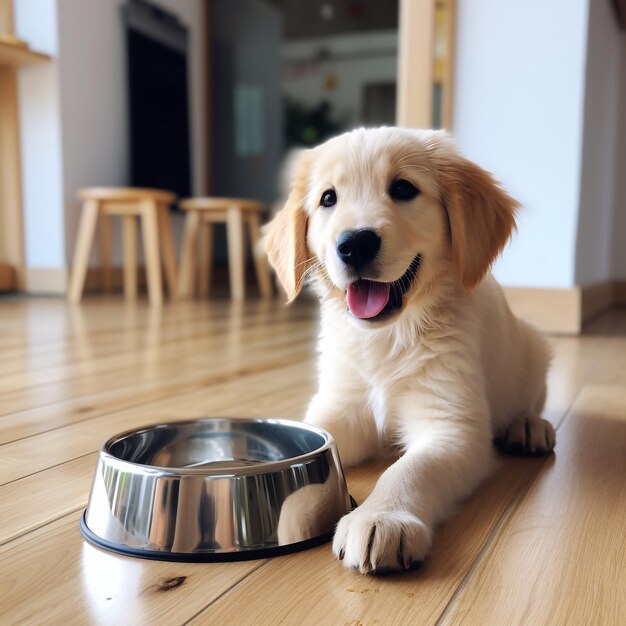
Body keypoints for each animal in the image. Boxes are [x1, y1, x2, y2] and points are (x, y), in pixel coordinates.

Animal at [260, 128, 552, 576]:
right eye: (328, 198)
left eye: (403, 189)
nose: (354, 244)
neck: (387, 337)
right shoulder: (340, 405)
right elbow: (315, 445)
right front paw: (294, 501)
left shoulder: (451, 424)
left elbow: (410, 468)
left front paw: (381, 517)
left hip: (535, 348)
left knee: (532, 400)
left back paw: (528, 426)